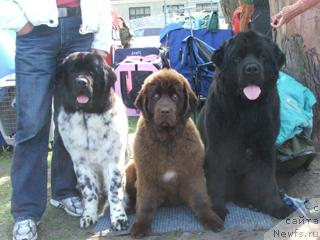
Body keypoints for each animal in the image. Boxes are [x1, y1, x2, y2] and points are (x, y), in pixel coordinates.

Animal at [56, 52, 129, 231]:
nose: (81, 82)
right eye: (73, 71)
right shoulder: (81, 164)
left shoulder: (113, 162)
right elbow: (89, 192)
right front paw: (88, 215)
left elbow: (115, 192)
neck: (86, 116)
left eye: (92, 72)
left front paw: (119, 218)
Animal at [125, 69, 222, 238]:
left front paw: (210, 219)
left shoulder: (193, 173)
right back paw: (130, 207)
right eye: (156, 96)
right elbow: (144, 202)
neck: (168, 140)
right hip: (130, 168)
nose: (165, 111)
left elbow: (200, 199)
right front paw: (141, 225)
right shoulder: (146, 176)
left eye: (175, 97)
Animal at [199, 31, 294, 220]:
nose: (251, 68)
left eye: (262, 56)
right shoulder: (216, 149)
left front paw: (276, 206)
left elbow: (267, 181)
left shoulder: (265, 148)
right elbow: (216, 180)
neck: (246, 110)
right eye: (237, 58)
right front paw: (216, 209)